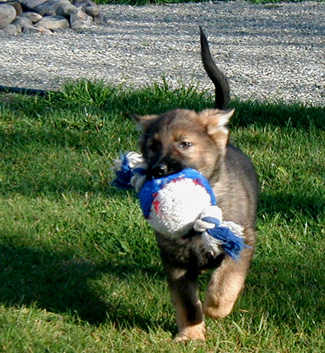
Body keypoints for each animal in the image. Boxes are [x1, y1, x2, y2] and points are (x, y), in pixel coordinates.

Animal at [133, 28, 256, 340]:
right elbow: (186, 301)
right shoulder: (175, 260)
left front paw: (216, 308)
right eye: (153, 146)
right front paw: (190, 334)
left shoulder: (242, 240)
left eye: (185, 144)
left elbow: (226, 280)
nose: (159, 170)